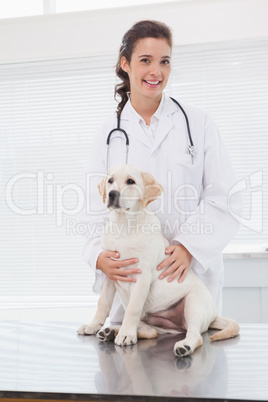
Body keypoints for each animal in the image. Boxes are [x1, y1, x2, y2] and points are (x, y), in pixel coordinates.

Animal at [77, 165, 239, 356]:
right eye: (110, 181)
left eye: (130, 181)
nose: (112, 194)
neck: (124, 225)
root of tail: (213, 315)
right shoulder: (110, 272)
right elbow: (103, 303)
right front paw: (93, 326)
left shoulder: (142, 276)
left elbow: (133, 308)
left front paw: (126, 335)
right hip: (155, 321)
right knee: (151, 332)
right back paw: (112, 331)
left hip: (193, 303)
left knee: (196, 335)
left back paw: (182, 345)